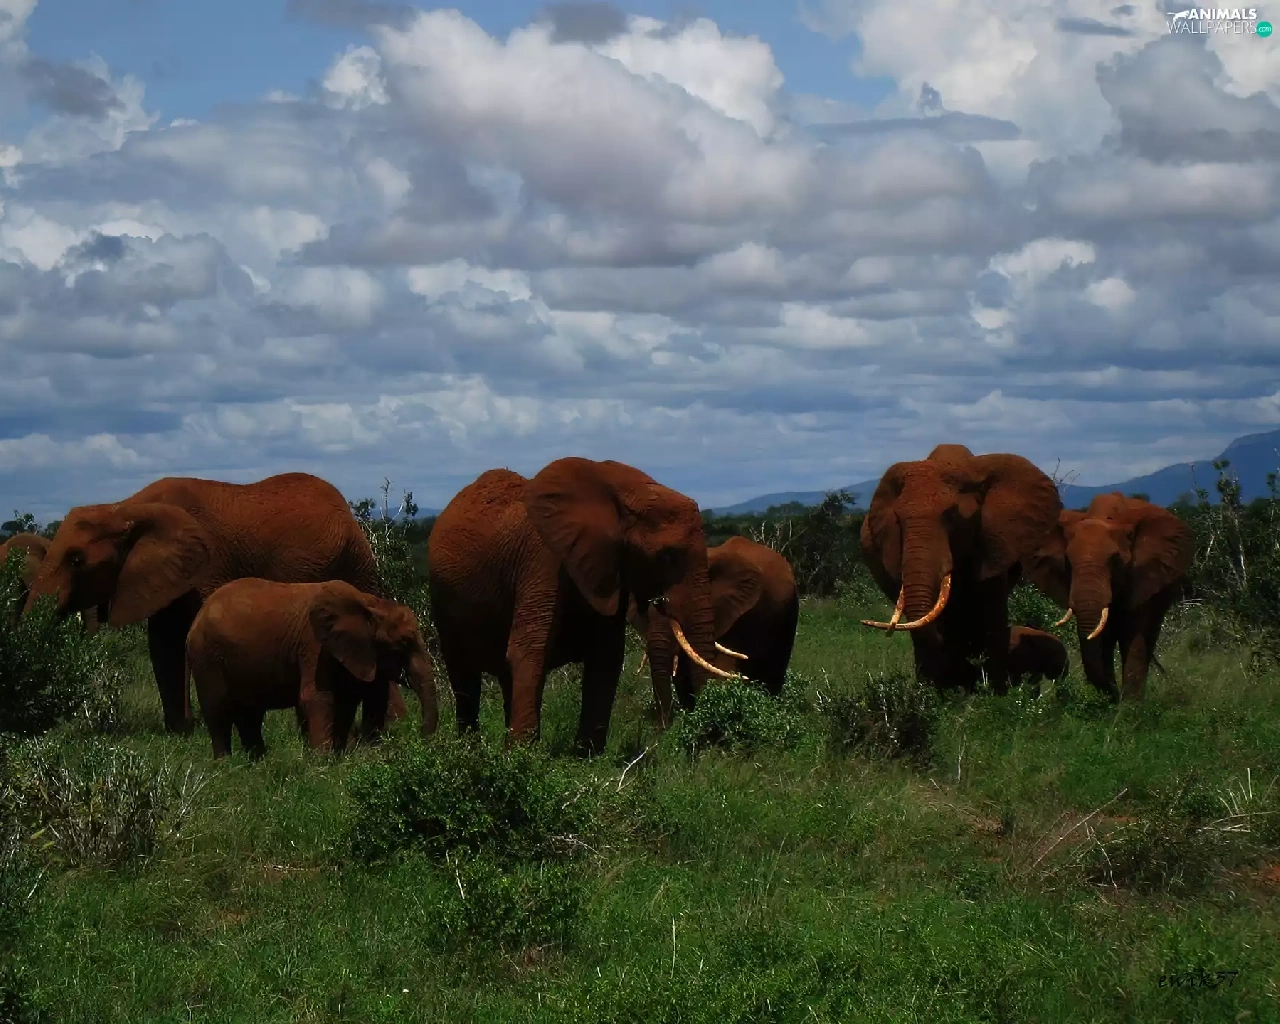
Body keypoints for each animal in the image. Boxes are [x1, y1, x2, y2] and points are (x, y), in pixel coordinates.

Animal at [27, 473, 411, 736]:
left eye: (76, 560)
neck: (125, 507)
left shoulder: (208, 566)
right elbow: (164, 644)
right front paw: (180, 732)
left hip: (355, 561)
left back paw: (392, 727)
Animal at [186, 579, 437, 759]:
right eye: (403, 643)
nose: (421, 736)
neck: (370, 604)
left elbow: (358, 701)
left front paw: (343, 757)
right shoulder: (315, 647)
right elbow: (317, 698)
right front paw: (322, 765)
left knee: (250, 714)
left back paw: (258, 763)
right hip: (206, 657)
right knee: (218, 711)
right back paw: (226, 765)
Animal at [427, 458, 739, 756]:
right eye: (667, 557)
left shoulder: (606, 568)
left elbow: (606, 655)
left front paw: (586, 757)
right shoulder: (542, 559)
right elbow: (530, 650)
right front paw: (521, 759)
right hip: (442, 598)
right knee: (463, 673)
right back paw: (471, 750)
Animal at [1023, 492, 1193, 700]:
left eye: (1115, 561)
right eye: (1068, 562)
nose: (1112, 695)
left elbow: (1135, 637)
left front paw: (1129, 706)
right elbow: (1101, 641)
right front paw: (1109, 702)